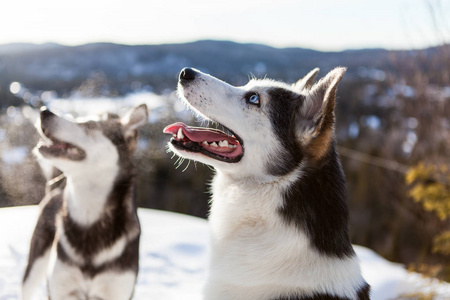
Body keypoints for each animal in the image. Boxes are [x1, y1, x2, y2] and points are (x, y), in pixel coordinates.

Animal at [22, 104, 148, 298]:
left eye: (89, 125)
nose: (44, 111)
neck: (88, 218)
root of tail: (56, 192)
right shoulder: (61, 289)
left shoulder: (115, 291)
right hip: (35, 266)